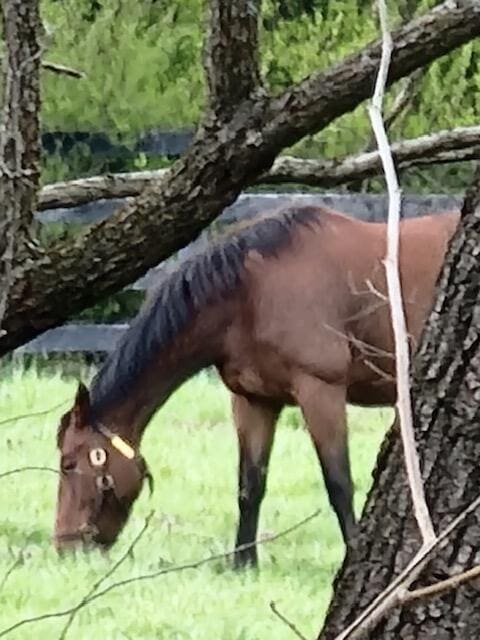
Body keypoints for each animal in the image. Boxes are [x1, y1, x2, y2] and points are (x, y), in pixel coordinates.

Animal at [52, 204, 458, 564]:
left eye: (69, 464)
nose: (65, 546)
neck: (252, 292)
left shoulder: (320, 390)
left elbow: (338, 483)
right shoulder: (253, 400)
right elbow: (250, 486)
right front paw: (243, 562)